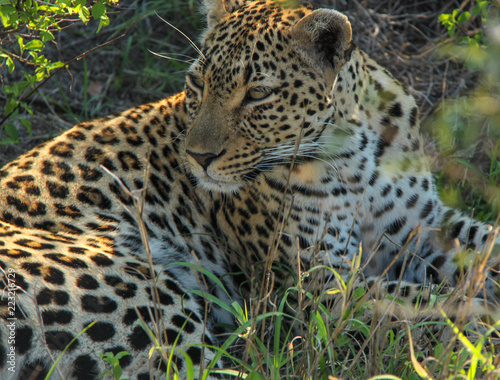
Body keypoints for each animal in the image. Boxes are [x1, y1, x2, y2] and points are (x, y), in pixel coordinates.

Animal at [0, 0, 498, 380]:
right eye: (197, 84)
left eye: (258, 94)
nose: (197, 157)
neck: (357, 148)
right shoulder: (317, 284)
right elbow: (426, 299)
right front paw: (483, 326)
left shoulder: (426, 226)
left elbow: (486, 247)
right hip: (147, 295)